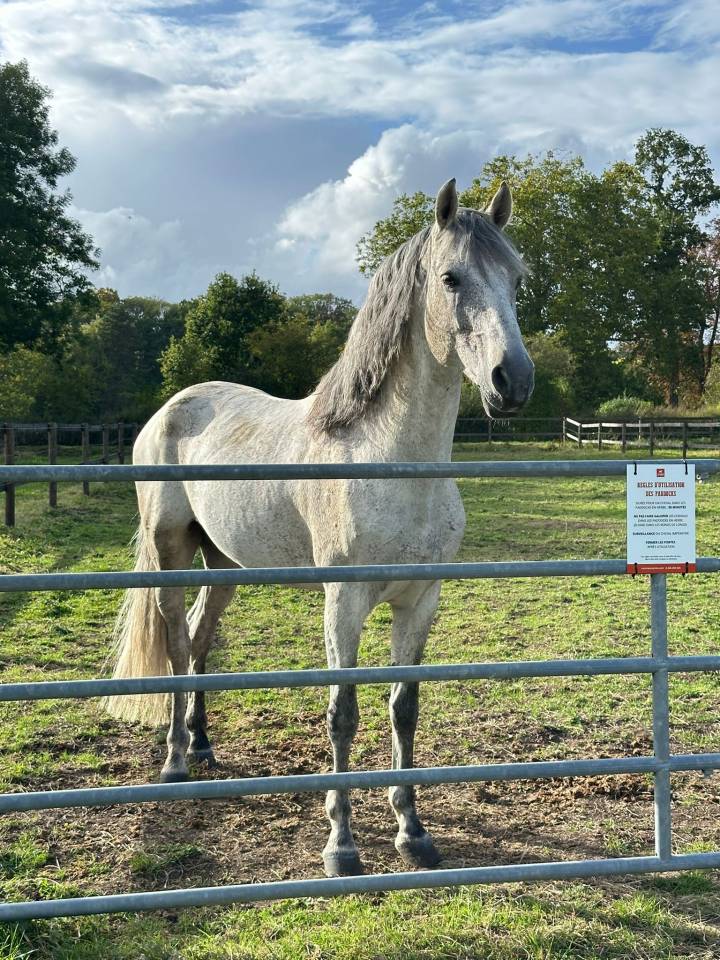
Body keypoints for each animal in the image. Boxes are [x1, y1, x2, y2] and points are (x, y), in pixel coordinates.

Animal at [105, 177, 534, 877]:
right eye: (451, 278)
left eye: (516, 279)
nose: (513, 380)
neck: (387, 457)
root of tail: (172, 408)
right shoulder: (344, 601)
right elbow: (343, 713)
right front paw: (342, 844)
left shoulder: (420, 600)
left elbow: (404, 708)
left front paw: (412, 830)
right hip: (170, 550)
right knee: (174, 643)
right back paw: (174, 761)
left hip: (225, 566)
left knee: (200, 636)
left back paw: (202, 744)